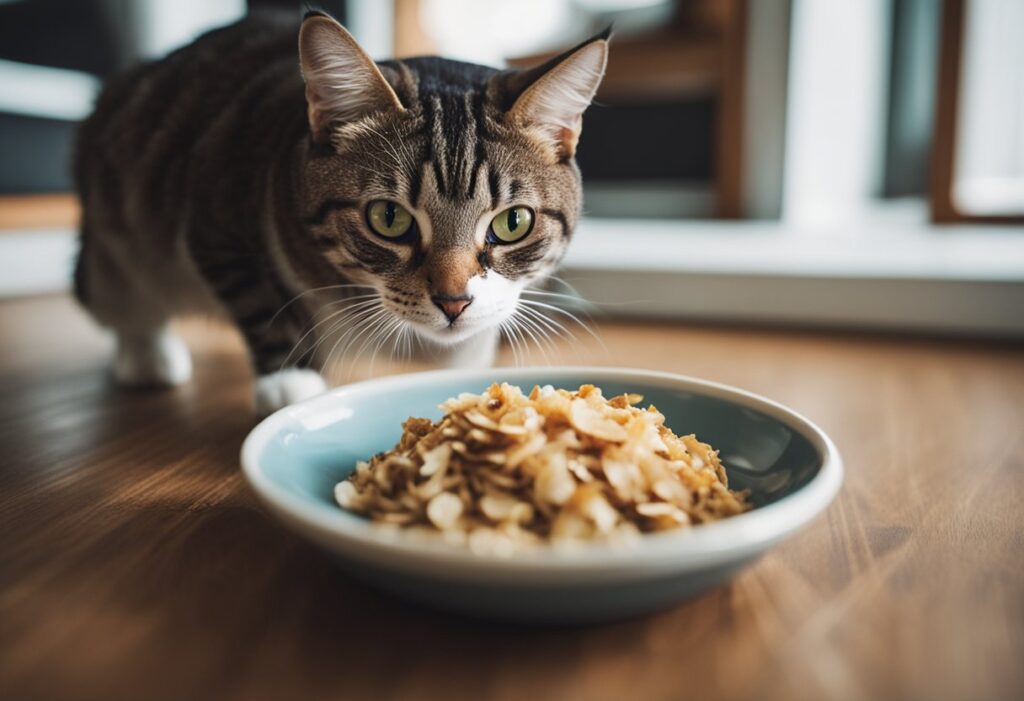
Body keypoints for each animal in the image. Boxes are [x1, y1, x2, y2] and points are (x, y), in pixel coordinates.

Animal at [75, 10, 610, 413]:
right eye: (389, 219)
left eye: (512, 223)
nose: (454, 302)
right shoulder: (215, 217)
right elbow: (261, 301)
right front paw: (290, 382)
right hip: (115, 249)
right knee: (124, 300)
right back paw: (149, 358)